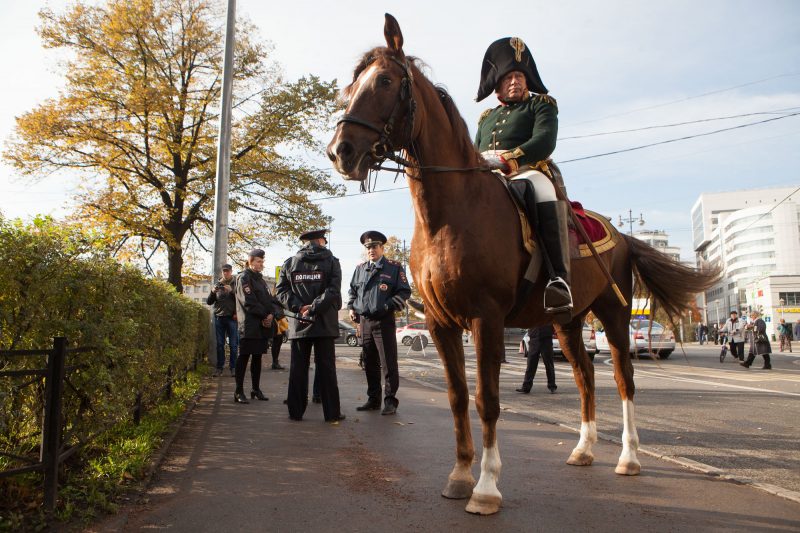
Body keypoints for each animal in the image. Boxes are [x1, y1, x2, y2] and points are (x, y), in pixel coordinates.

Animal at [324, 15, 720, 516]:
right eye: (351, 85)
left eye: (384, 81)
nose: (341, 151)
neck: (452, 213)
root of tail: (622, 235)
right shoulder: (440, 323)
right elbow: (457, 398)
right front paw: (459, 476)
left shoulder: (486, 319)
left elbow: (487, 400)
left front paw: (486, 487)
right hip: (568, 321)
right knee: (585, 377)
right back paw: (583, 449)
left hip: (613, 316)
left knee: (623, 380)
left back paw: (628, 458)